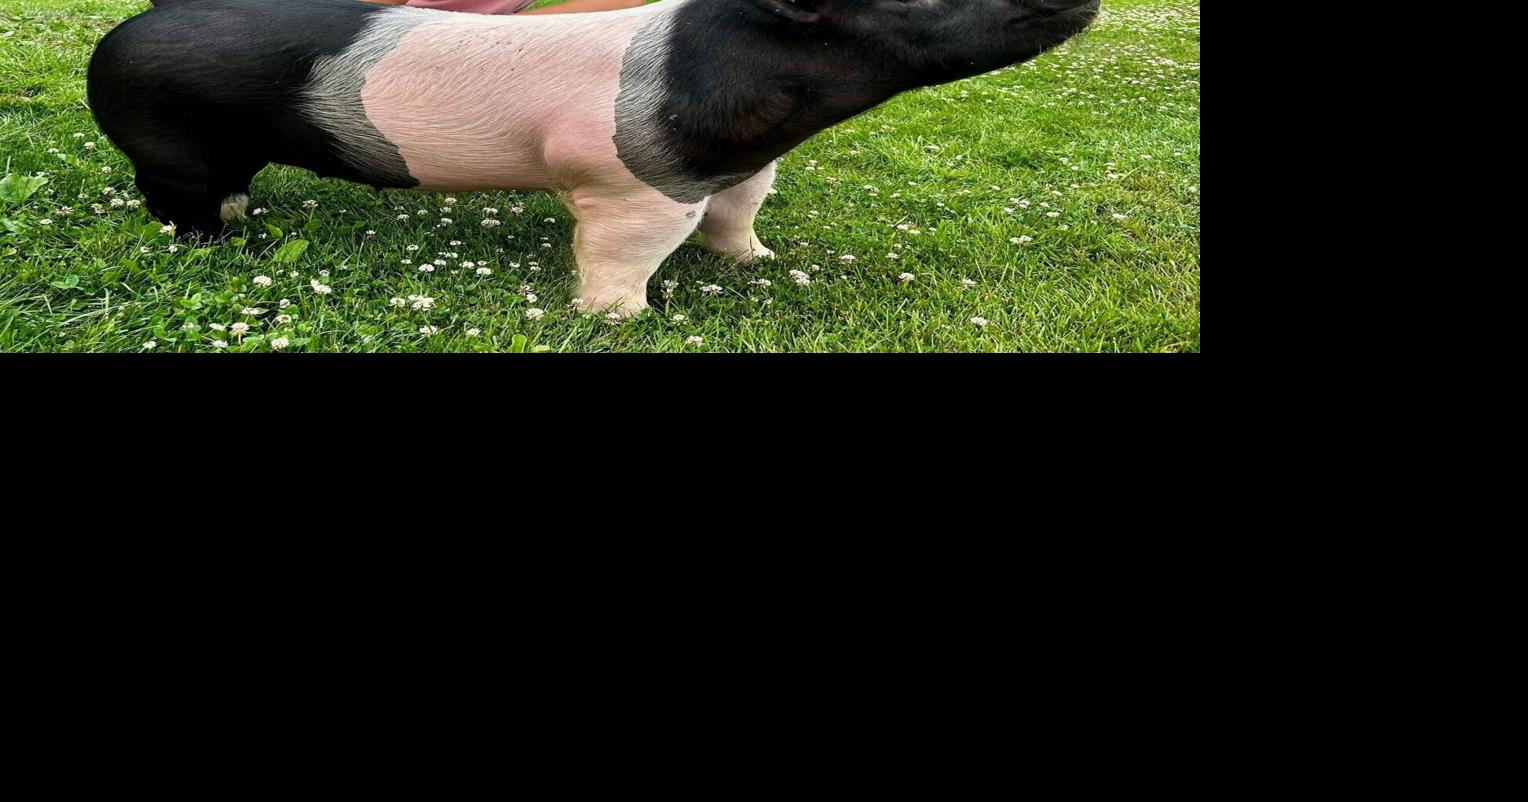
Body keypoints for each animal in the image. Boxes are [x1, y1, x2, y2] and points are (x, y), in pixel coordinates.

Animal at [88, 0, 1100, 316]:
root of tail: (117, 38)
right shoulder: (632, 182)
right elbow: (622, 254)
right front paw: (622, 320)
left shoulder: (744, 165)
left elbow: (742, 216)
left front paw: (761, 264)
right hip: (169, 144)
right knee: (177, 205)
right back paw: (227, 246)